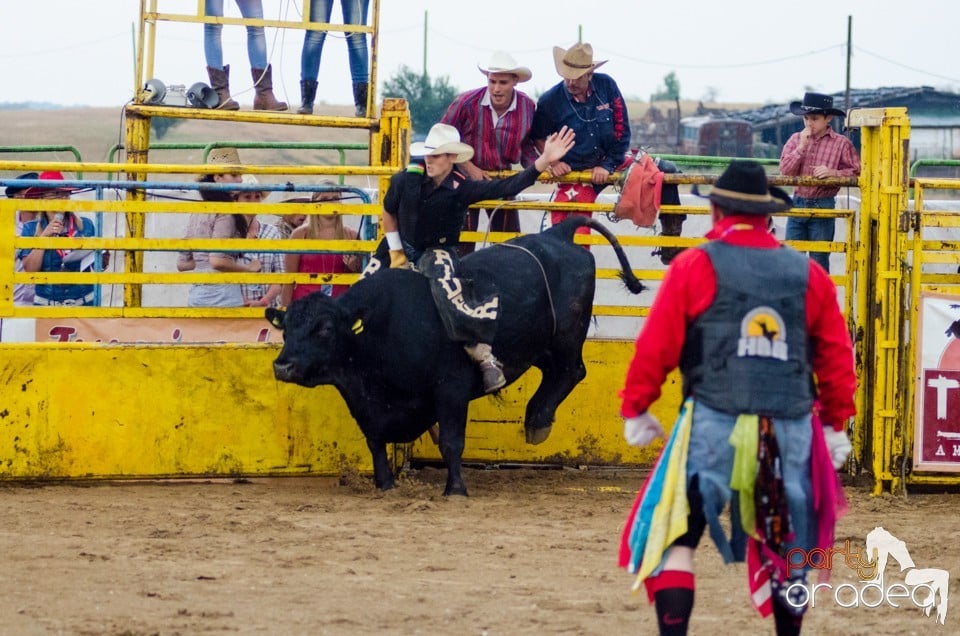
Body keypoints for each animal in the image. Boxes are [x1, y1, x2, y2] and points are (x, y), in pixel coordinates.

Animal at [266, 219, 644, 496]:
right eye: (285, 329)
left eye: (325, 329)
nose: (282, 365)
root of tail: (558, 234)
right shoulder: (366, 404)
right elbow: (375, 442)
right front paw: (385, 485)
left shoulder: (451, 389)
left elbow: (451, 442)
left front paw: (455, 489)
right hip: (539, 344)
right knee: (554, 372)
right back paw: (536, 416)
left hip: (566, 336)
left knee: (572, 370)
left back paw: (537, 421)